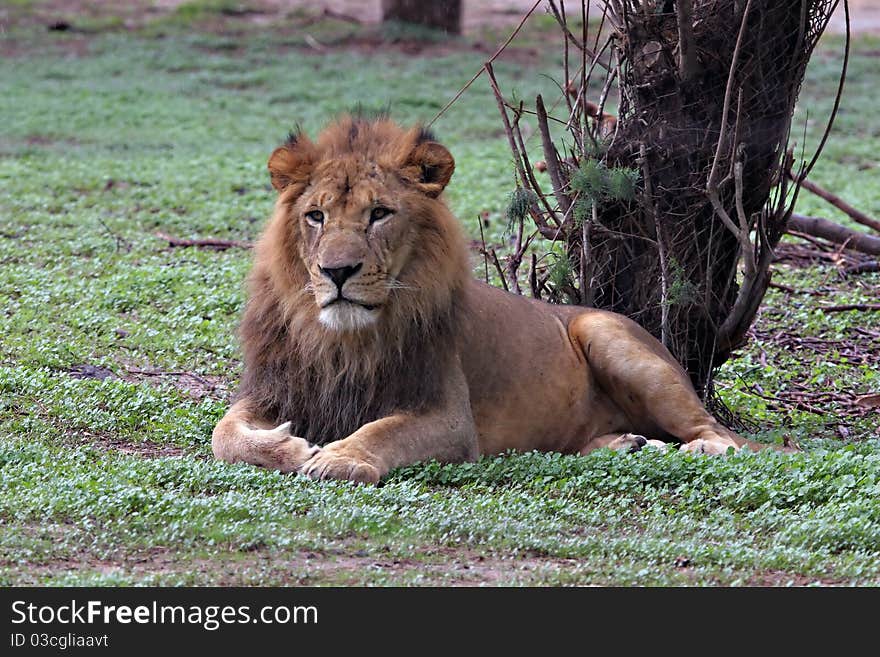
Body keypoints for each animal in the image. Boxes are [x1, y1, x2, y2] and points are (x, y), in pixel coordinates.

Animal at [210, 114, 768, 482]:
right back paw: (626, 445)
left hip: (612, 336)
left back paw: (697, 451)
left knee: (723, 434)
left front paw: (337, 457)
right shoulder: (272, 388)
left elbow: (384, 431)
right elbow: (225, 434)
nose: (337, 271)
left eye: (379, 214)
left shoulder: (450, 417)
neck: (342, 341)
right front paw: (288, 446)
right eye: (316, 216)